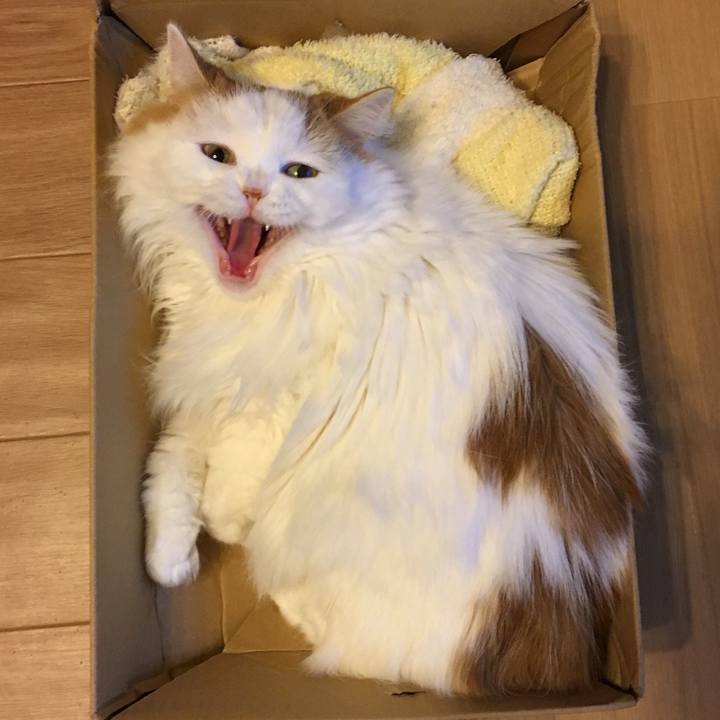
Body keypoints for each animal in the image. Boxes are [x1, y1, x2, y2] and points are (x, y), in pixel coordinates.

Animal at [110, 23, 645, 696]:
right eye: (217, 155)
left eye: (299, 172)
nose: (254, 191)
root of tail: (565, 652)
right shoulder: (203, 369)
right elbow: (171, 458)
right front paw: (170, 556)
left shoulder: (283, 394)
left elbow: (236, 464)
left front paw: (222, 521)